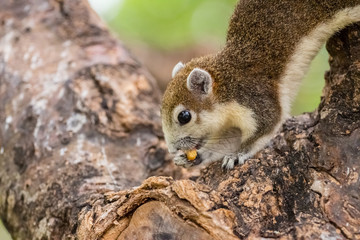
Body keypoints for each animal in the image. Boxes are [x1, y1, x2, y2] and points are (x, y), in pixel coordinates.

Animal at [160, 0, 360, 169]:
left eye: (184, 116)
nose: (171, 149)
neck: (228, 86)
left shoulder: (255, 99)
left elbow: (268, 124)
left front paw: (237, 154)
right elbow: (228, 138)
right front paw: (193, 157)